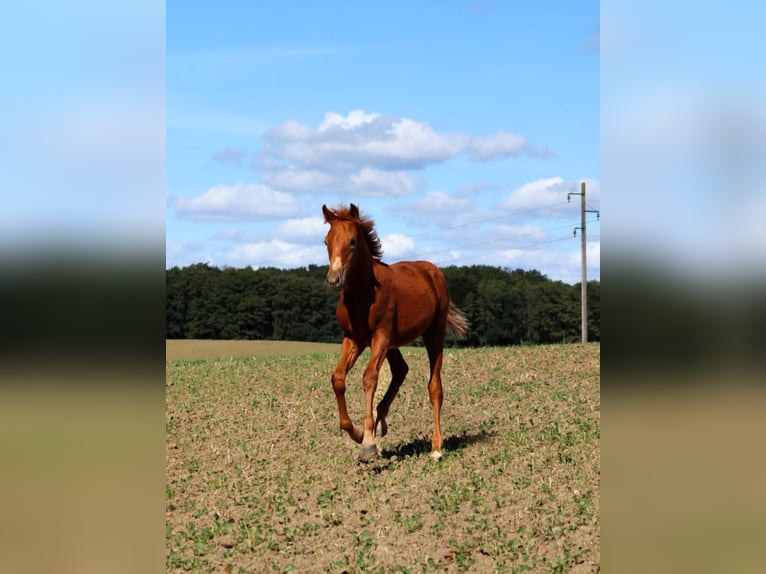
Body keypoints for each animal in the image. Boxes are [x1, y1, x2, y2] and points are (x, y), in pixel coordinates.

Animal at [321, 203, 469, 461]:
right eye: (326, 241)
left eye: (352, 241)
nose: (333, 279)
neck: (364, 295)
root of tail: (432, 270)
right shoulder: (353, 338)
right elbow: (338, 378)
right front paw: (358, 433)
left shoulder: (380, 336)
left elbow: (369, 377)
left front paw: (368, 443)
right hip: (392, 344)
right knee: (401, 369)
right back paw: (381, 421)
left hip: (433, 332)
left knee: (435, 387)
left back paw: (436, 447)